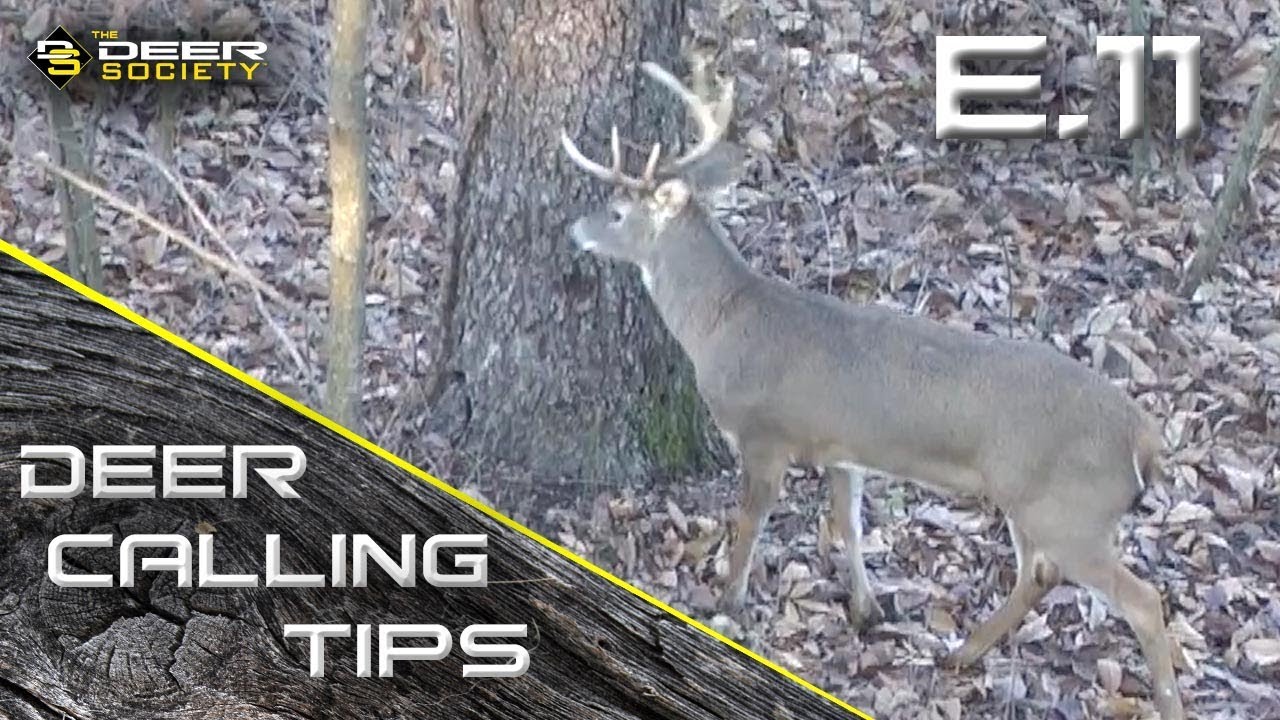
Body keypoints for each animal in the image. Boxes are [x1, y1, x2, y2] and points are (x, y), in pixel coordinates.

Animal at [559, 61, 1186, 720]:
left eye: (618, 210)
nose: (575, 230)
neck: (724, 322)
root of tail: (1143, 438)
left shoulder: (765, 433)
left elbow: (751, 520)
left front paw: (726, 603)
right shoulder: (842, 448)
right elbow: (850, 522)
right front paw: (866, 609)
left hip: (1072, 508)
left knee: (1140, 600)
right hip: (1040, 504)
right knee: (1038, 576)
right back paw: (960, 654)